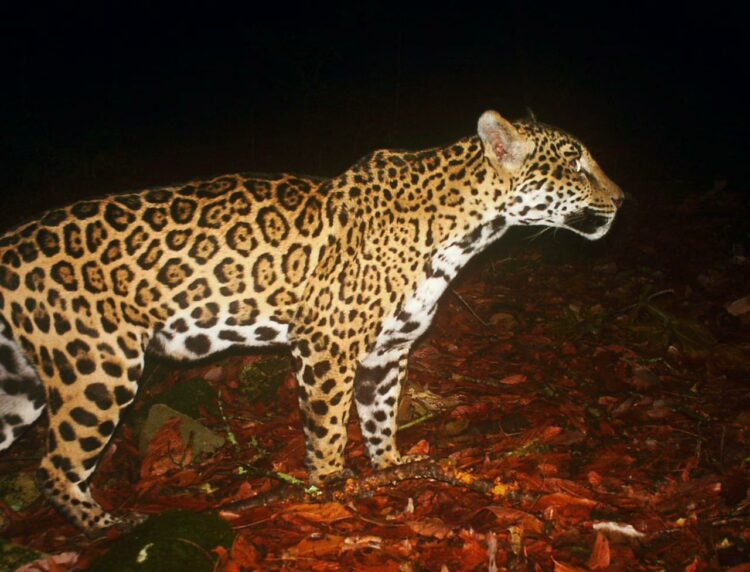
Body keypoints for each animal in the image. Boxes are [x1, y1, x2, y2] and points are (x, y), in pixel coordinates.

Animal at [0, 110, 622, 532]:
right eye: (576, 164)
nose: (621, 198)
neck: (467, 230)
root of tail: (11, 242)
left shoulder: (386, 352)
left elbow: (379, 421)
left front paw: (392, 471)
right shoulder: (328, 346)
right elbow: (327, 429)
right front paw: (328, 492)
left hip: (20, 382)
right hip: (96, 370)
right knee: (56, 466)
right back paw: (108, 528)